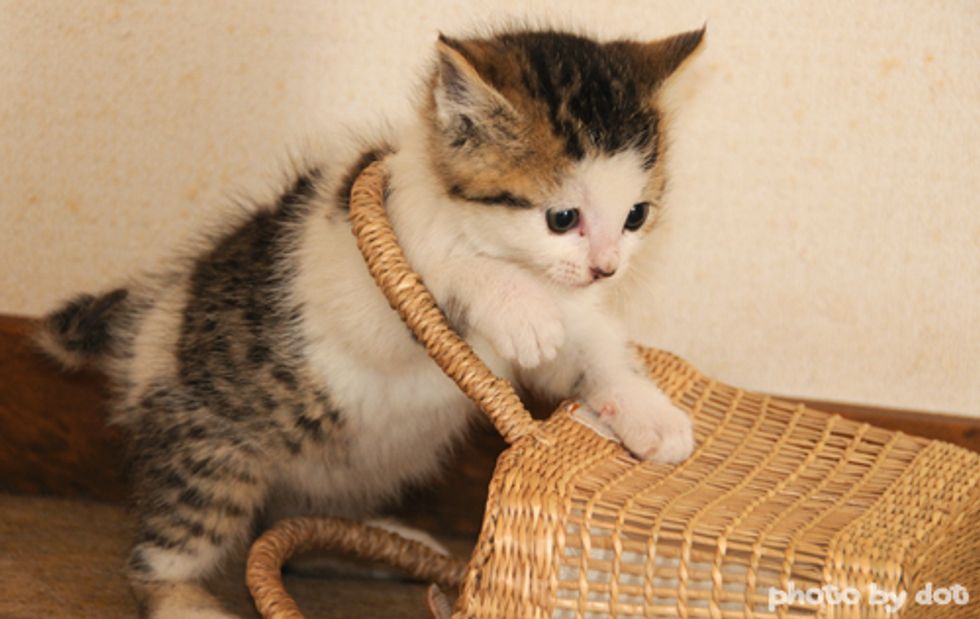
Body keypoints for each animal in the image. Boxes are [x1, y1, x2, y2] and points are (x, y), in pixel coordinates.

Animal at [36, 26, 704, 616]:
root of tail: (151, 321)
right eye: (562, 218)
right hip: (211, 454)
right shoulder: (363, 276)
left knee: (298, 526)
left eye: (636, 216)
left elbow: (595, 349)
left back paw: (375, 544)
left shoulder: (576, 306)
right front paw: (512, 304)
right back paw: (189, 604)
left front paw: (651, 415)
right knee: (159, 554)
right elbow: (437, 270)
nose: (606, 268)